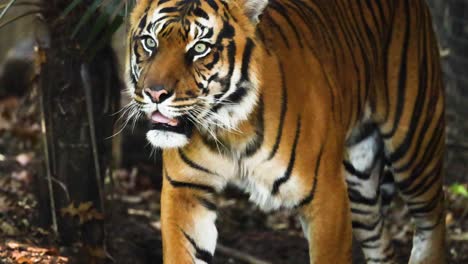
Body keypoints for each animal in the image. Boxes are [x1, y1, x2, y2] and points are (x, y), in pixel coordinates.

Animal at [126, 0, 448, 262]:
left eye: (200, 48)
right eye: (149, 42)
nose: (155, 93)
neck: (229, 128)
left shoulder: (327, 199)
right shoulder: (185, 189)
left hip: (414, 145)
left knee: (432, 222)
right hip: (361, 185)